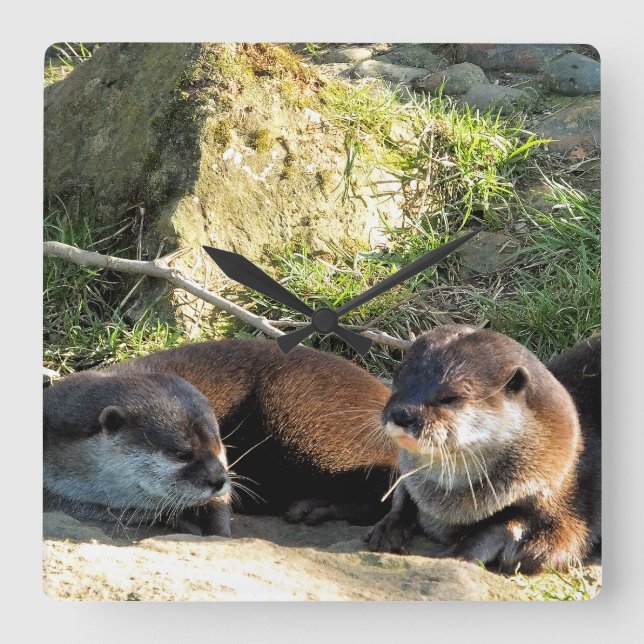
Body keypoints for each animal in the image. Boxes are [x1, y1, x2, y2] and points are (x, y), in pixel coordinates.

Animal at [364, 325, 601, 574]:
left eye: (450, 397)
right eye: (397, 379)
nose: (402, 414)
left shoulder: (570, 501)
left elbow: (532, 538)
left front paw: (456, 556)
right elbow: (402, 495)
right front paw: (388, 527)